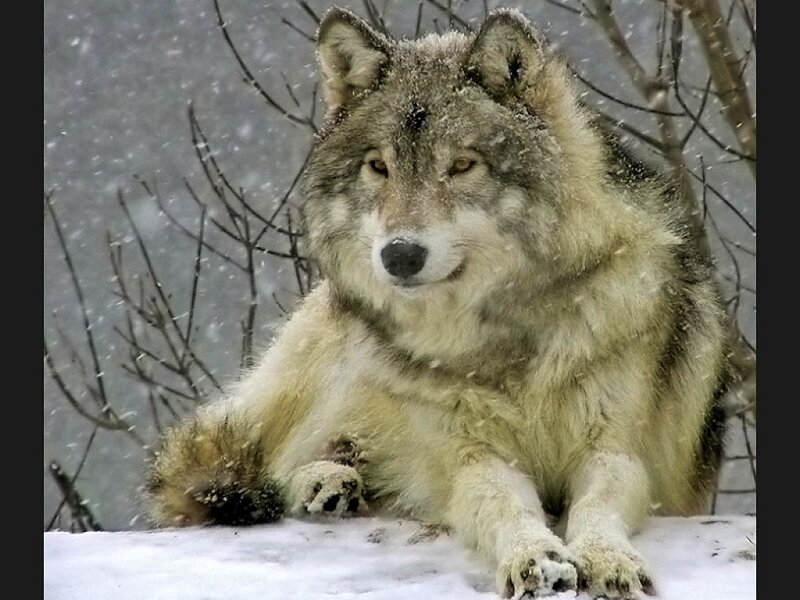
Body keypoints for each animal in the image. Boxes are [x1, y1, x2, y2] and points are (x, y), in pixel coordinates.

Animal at [144, 7, 731, 599]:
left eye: (463, 165)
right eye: (379, 167)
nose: (400, 255)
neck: (504, 336)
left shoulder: (615, 451)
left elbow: (598, 505)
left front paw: (609, 559)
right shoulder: (469, 456)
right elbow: (503, 503)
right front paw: (535, 558)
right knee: (262, 460)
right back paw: (325, 480)